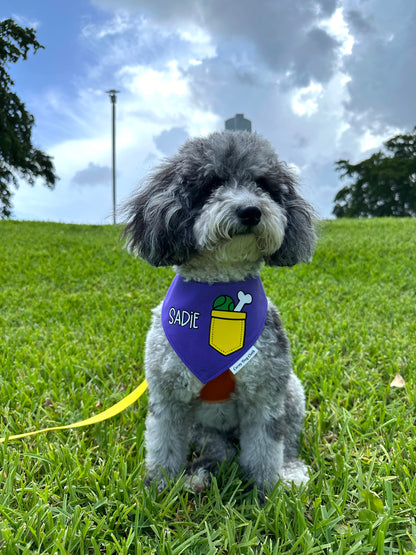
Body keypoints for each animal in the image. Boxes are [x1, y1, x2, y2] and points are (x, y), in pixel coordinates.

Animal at [123, 131, 316, 500]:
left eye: (264, 185)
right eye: (212, 183)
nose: (251, 210)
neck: (216, 292)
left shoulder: (265, 397)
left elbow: (265, 450)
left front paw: (267, 493)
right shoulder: (168, 398)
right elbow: (163, 445)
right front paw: (160, 488)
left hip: (292, 393)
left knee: (287, 441)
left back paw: (290, 471)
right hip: (203, 428)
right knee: (221, 450)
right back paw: (200, 474)